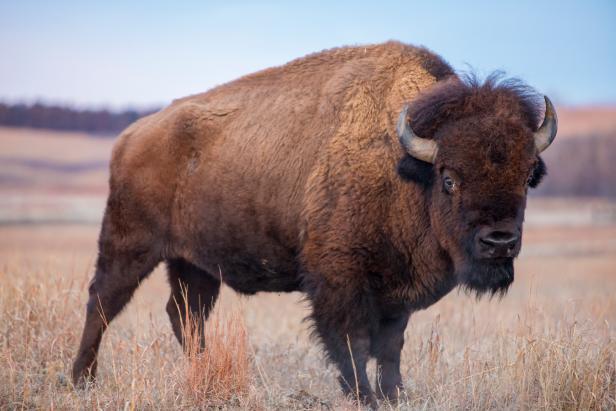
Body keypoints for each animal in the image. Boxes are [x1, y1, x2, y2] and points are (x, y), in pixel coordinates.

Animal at [73, 40, 560, 408]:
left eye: (526, 176)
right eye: (449, 178)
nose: (499, 241)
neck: (403, 168)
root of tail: (131, 136)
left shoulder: (395, 293)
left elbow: (391, 347)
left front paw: (395, 396)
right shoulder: (339, 281)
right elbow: (352, 343)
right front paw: (364, 397)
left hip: (193, 264)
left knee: (186, 315)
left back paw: (201, 372)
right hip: (129, 243)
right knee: (103, 302)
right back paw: (81, 380)